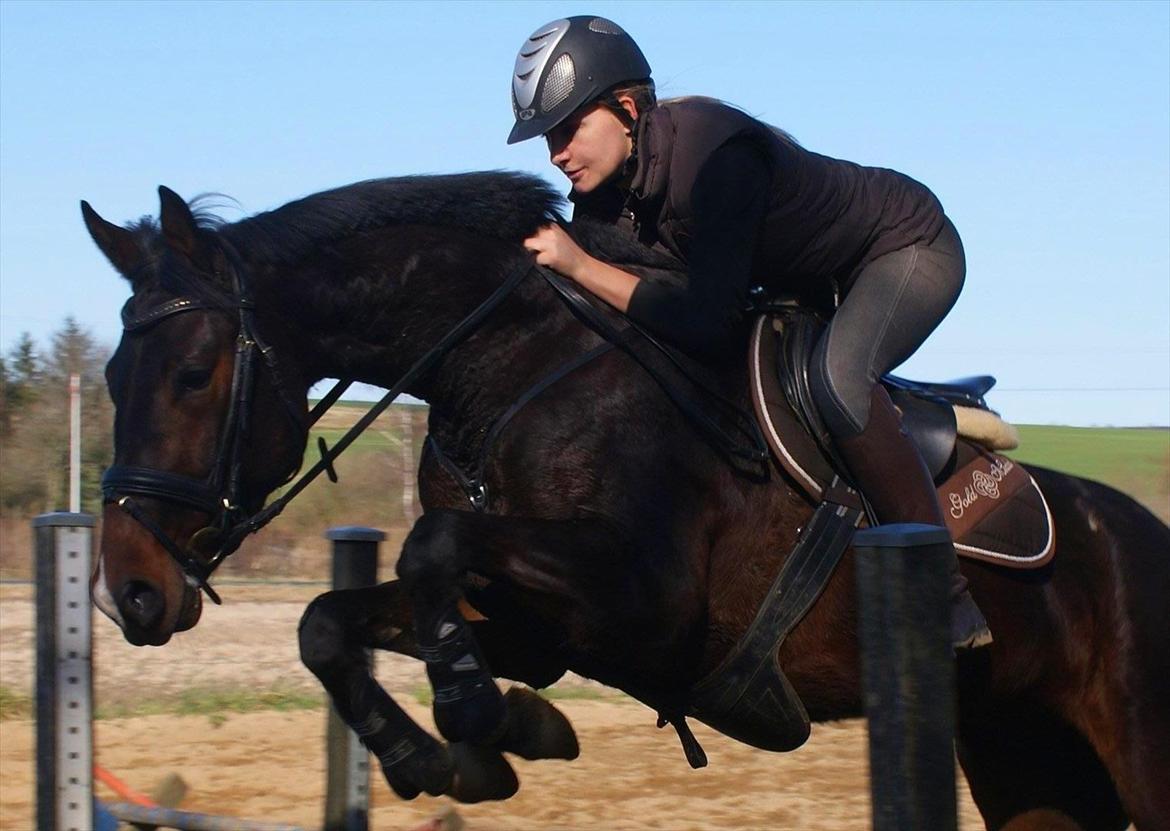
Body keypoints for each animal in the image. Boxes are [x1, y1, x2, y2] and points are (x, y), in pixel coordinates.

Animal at [84, 172, 1170, 828]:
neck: (510, 367)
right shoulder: (533, 625)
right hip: (1023, 757)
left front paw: (478, 716)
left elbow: (433, 540)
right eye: (108, 378)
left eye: (191, 375)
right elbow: (329, 620)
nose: (129, 593)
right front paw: (450, 758)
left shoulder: (645, 602)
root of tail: (1143, 531)